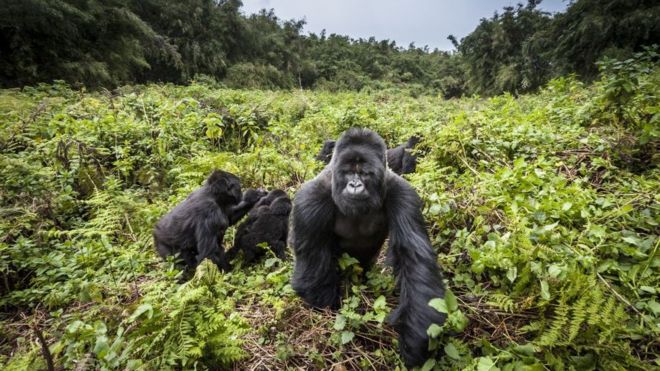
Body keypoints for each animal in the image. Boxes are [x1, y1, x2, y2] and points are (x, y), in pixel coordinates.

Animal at [292, 129, 446, 368]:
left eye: (364, 173)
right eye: (347, 173)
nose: (355, 185)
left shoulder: (403, 194)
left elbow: (414, 258)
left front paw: (415, 343)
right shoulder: (310, 199)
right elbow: (312, 269)